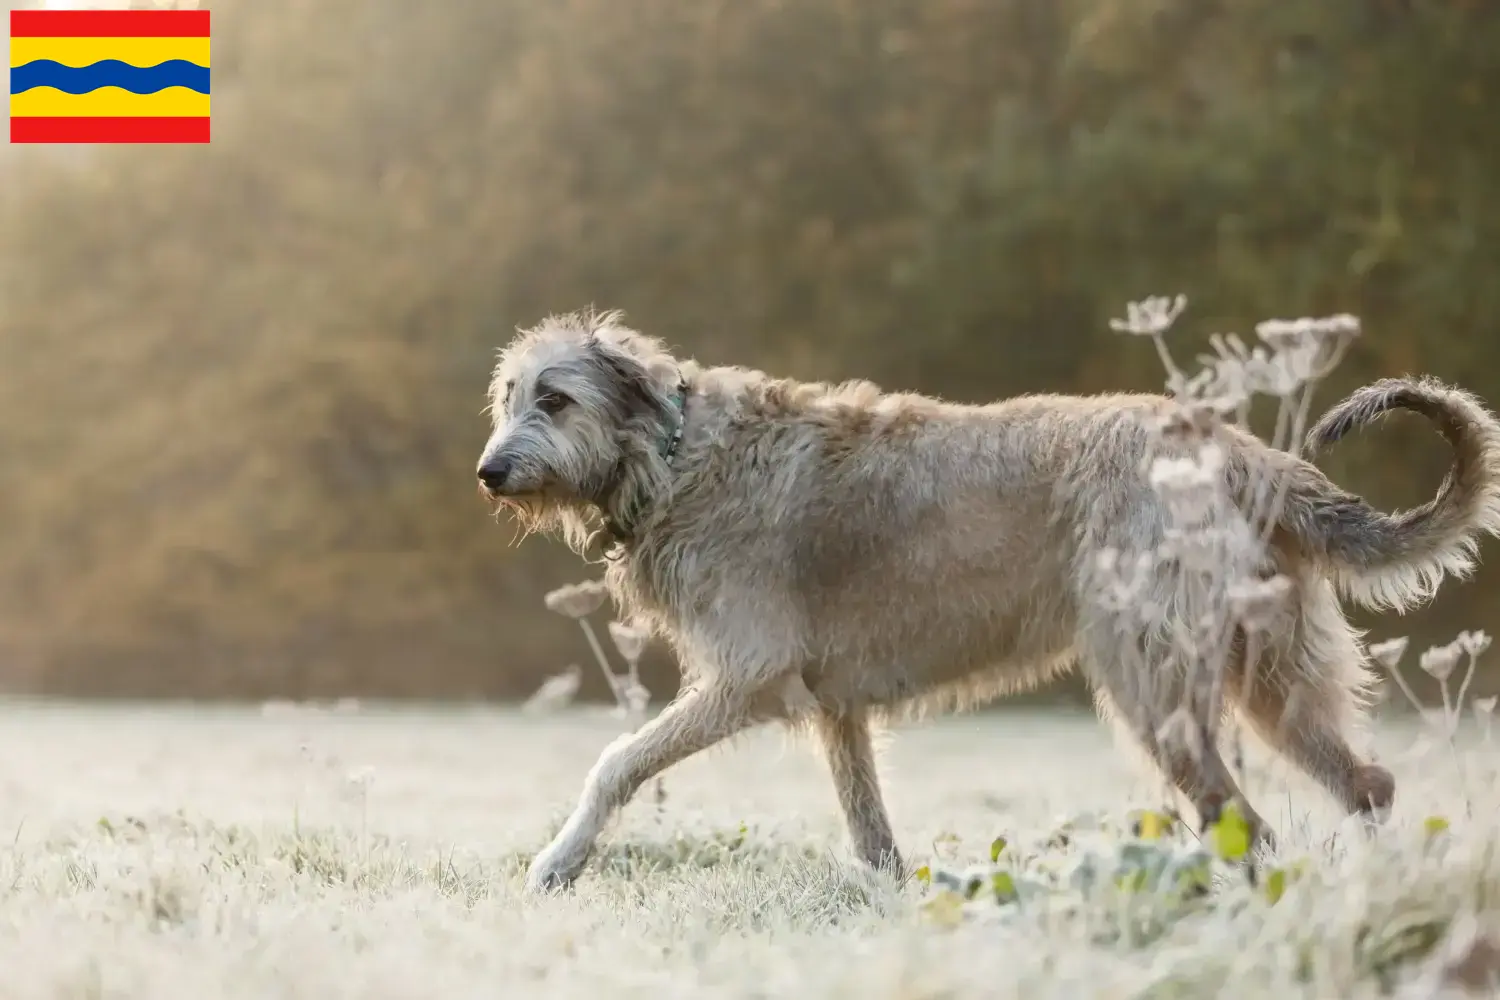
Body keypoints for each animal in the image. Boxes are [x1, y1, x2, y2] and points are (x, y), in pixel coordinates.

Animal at [477, 307, 1500, 893]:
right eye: (508, 397)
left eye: (555, 398)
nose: (489, 472)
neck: (676, 450)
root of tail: (1244, 453)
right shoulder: (837, 706)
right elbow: (870, 828)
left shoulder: (746, 677)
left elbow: (615, 763)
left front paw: (556, 863)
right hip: (1275, 683)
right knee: (1367, 784)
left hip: (1155, 687)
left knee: (1243, 821)